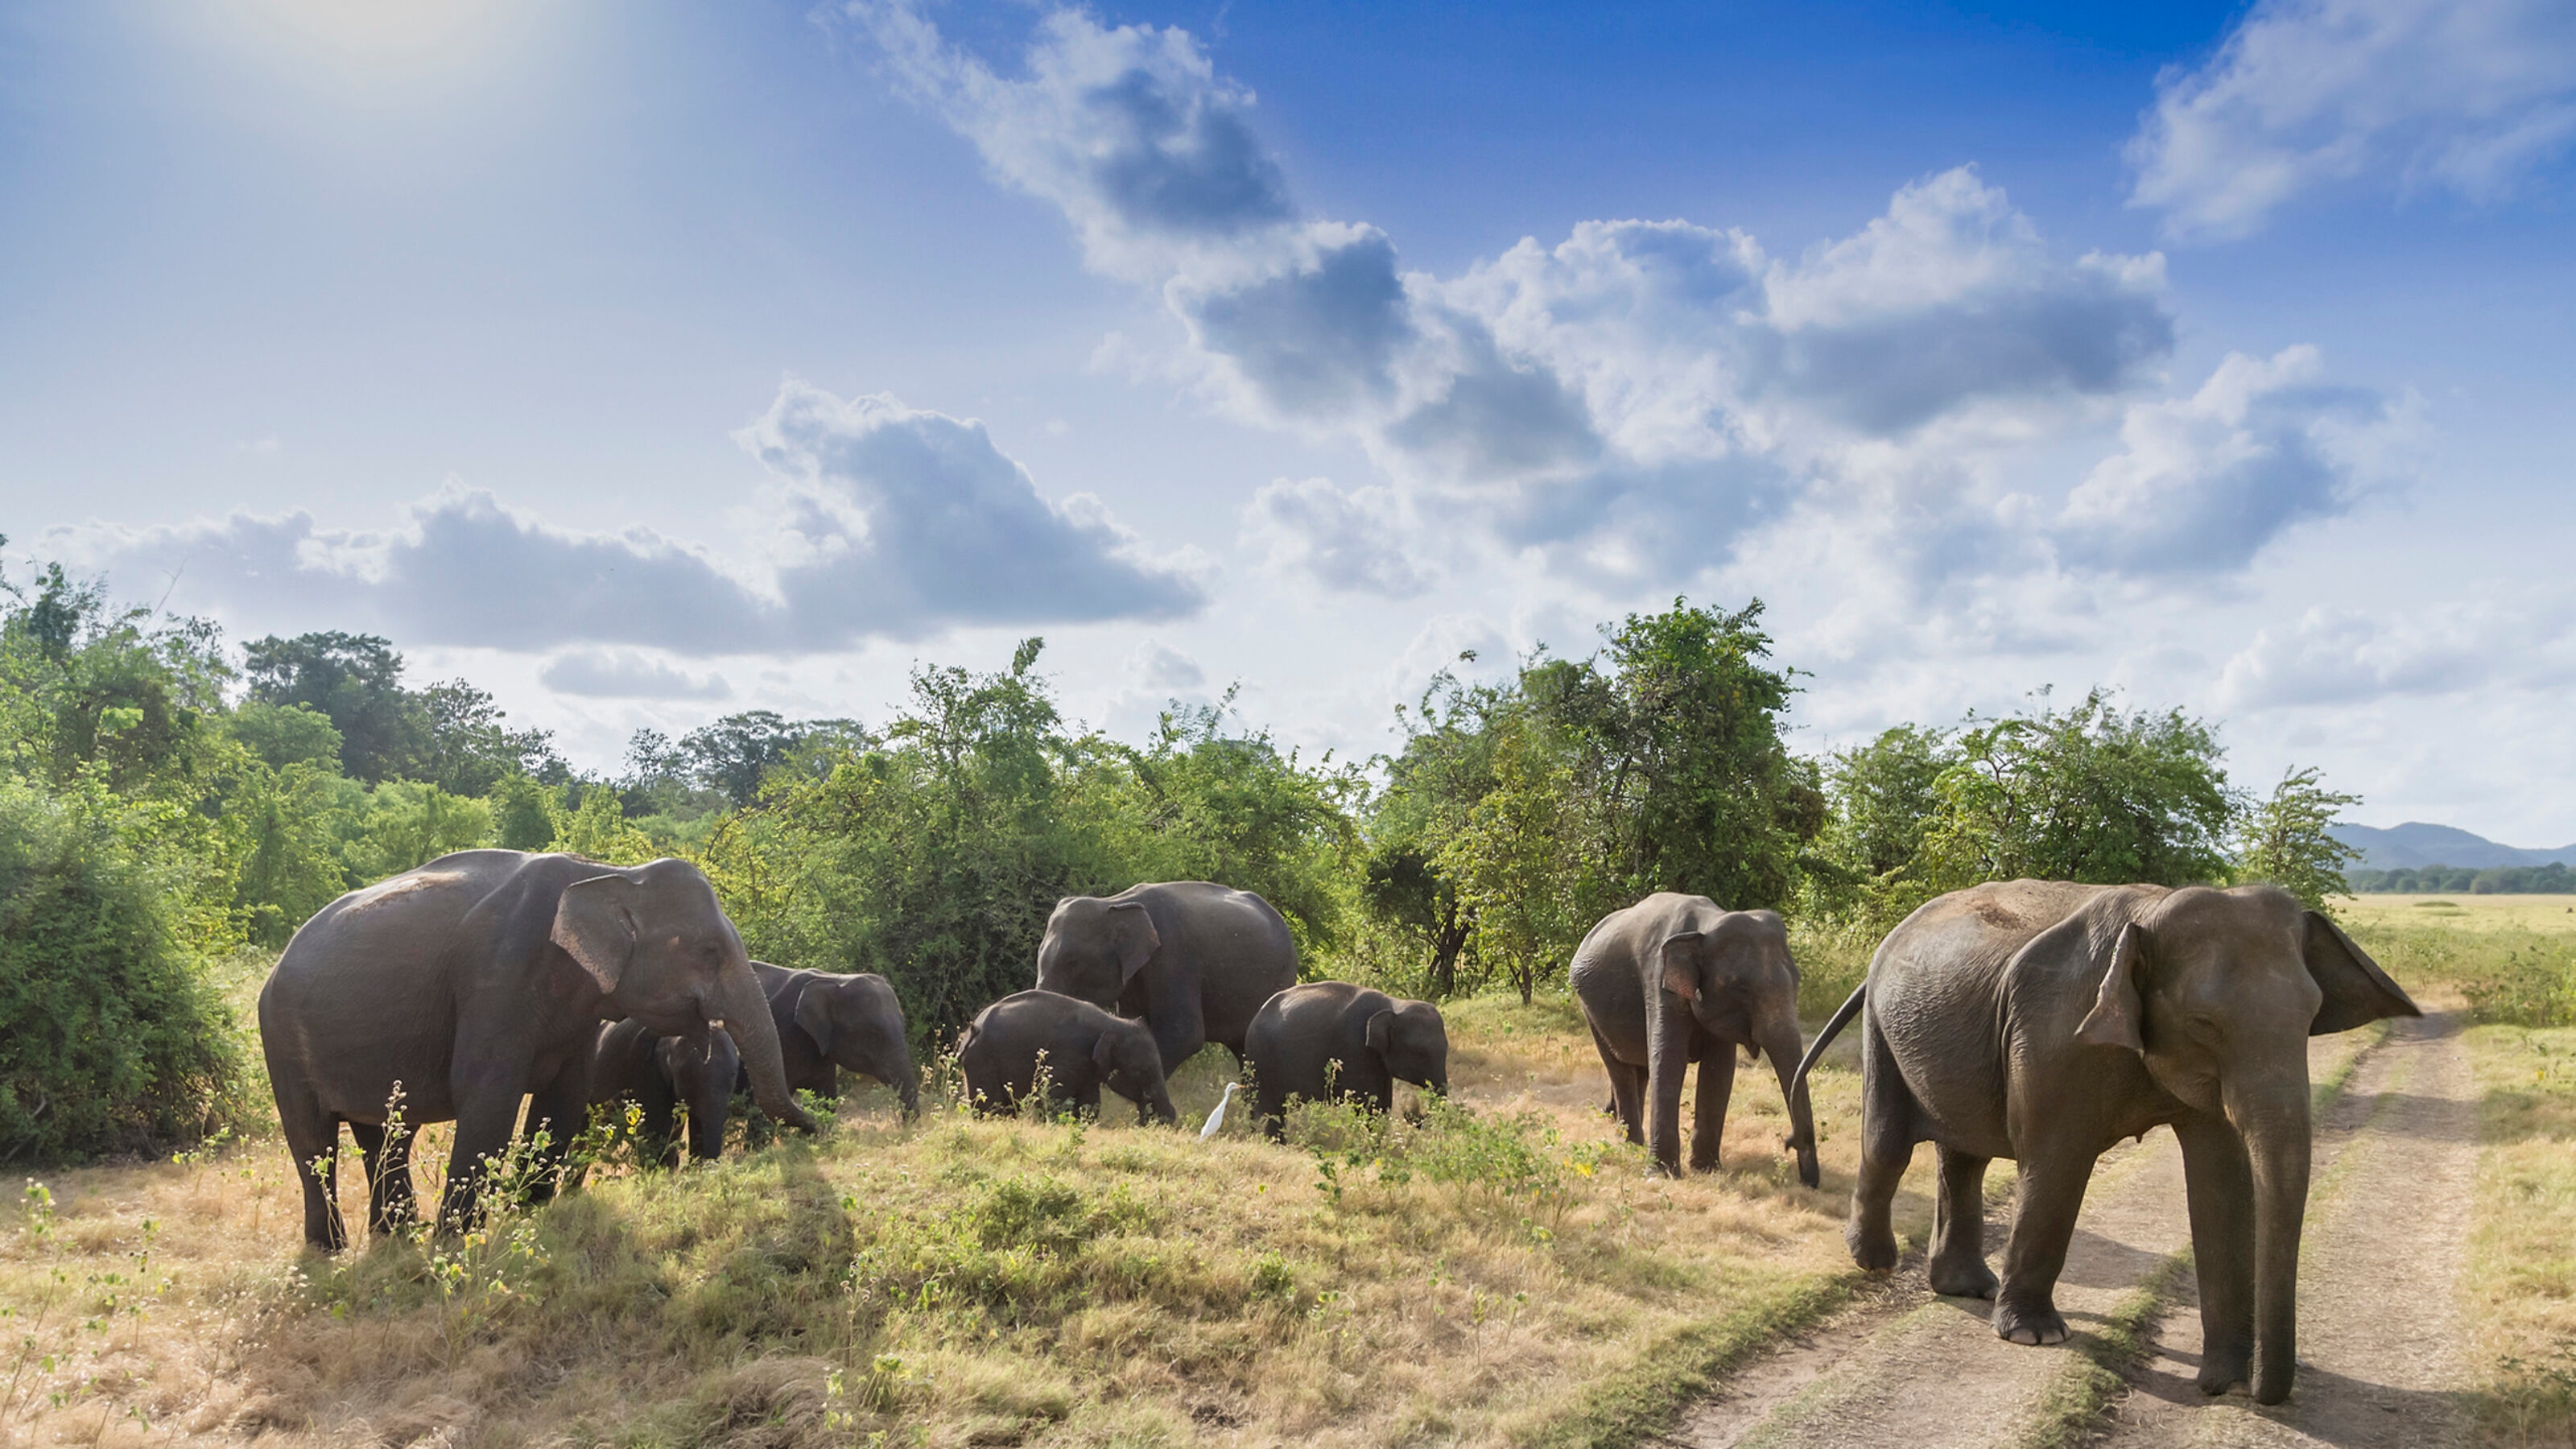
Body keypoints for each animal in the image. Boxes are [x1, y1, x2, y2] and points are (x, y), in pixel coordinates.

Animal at [956, 990, 1178, 1126]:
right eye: (1142, 1071)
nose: (1167, 1119)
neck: (1112, 1023)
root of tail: (971, 1029)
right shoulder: (1068, 1055)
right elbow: (1053, 1098)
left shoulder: (1089, 1069)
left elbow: (1090, 1103)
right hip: (982, 1060)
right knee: (989, 1106)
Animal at [1242, 981, 1450, 1140]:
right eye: (1420, 1052)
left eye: (1446, 1050)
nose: (1411, 1111)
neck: (1394, 1005)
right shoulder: (1355, 1049)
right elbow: (1368, 1104)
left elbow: (1383, 1105)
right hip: (1260, 1060)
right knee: (1267, 1109)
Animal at [1571, 894, 1820, 1186]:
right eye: (1741, 988)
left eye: (1798, 981)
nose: (1788, 1142)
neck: (1707, 925)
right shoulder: (1659, 981)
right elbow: (1668, 1061)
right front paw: (1661, 1175)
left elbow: (1719, 1070)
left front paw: (1707, 1169)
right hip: (1589, 1010)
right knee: (1619, 1067)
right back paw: (1632, 1144)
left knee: (1639, 1068)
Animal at [1789, 881, 2419, 1404]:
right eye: (2204, 1024)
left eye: (2312, 1018)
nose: (2246, 1392)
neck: (2153, 912)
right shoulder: (2054, 1034)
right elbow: (2058, 1163)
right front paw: (2036, 1338)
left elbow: (2221, 1184)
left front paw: (2228, 1377)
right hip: (1883, 1029)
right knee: (1889, 1144)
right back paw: (1876, 1264)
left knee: (1964, 1156)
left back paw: (1968, 1288)